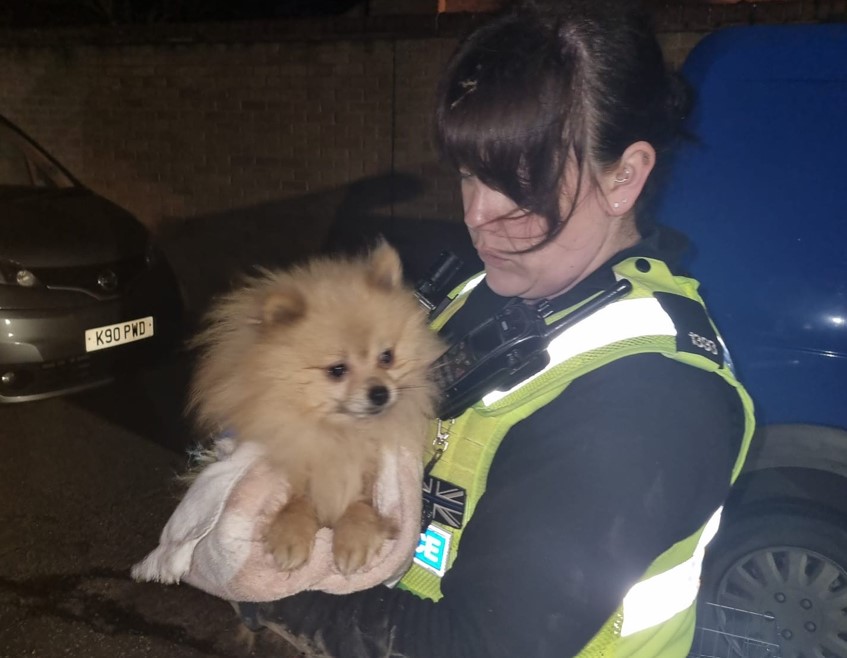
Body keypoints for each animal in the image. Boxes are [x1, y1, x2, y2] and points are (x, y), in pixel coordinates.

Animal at [189, 242, 448, 576]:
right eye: (337, 370)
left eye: (387, 357)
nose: (380, 392)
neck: (340, 434)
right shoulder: (294, 460)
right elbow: (298, 500)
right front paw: (290, 534)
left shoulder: (369, 471)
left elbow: (361, 503)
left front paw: (355, 537)